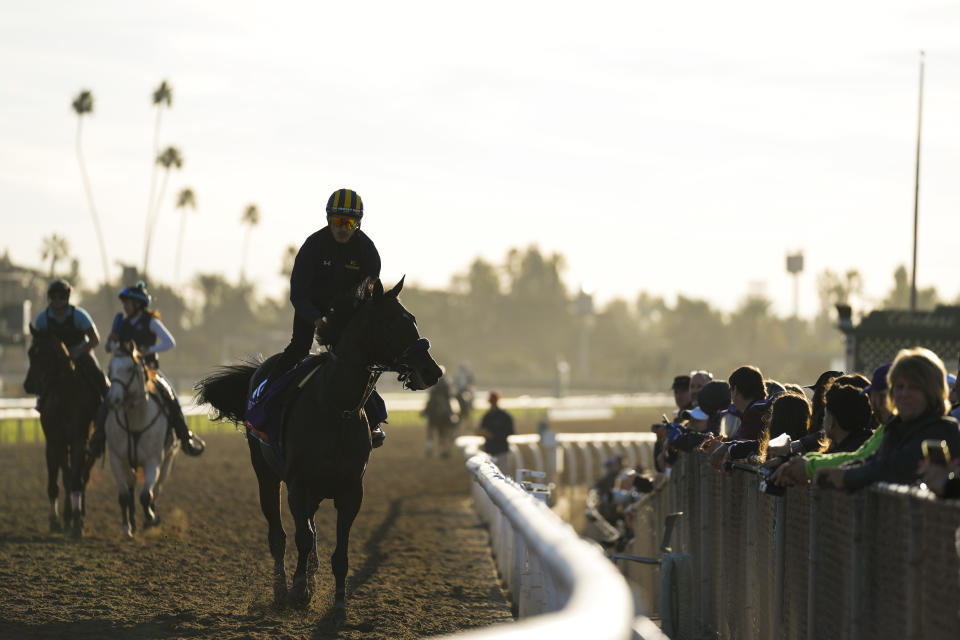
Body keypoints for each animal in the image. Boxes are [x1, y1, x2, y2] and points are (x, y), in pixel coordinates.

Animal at [23, 324, 98, 536]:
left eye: (45, 354)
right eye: (30, 352)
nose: (28, 385)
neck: (65, 395)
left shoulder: (79, 441)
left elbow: (76, 480)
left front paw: (77, 523)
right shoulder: (54, 442)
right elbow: (56, 483)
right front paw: (55, 520)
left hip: (93, 446)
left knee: (82, 476)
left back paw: (79, 514)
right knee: (68, 476)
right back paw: (67, 516)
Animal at [104, 342, 179, 536]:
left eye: (130, 368)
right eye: (110, 368)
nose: (113, 400)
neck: (135, 421)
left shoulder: (153, 460)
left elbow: (146, 495)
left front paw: (151, 518)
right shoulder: (117, 459)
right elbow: (124, 495)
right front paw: (127, 528)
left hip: (168, 459)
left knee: (157, 488)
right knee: (131, 488)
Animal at [199, 278, 446, 624]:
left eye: (412, 318)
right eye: (389, 322)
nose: (432, 371)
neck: (335, 409)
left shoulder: (351, 490)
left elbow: (337, 551)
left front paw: (337, 603)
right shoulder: (298, 484)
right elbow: (301, 538)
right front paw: (297, 592)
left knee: (310, 533)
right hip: (266, 476)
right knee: (279, 536)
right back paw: (282, 591)